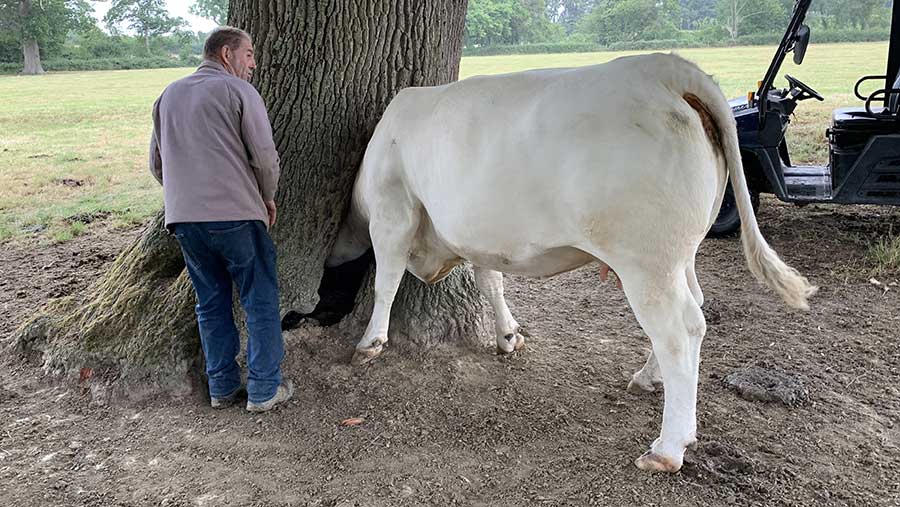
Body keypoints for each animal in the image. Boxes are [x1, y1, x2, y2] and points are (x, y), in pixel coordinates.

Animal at [326, 53, 820, 474]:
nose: (312, 314)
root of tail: (664, 67)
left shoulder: (393, 211)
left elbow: (386, 279)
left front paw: (370, 342)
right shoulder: (480, 237)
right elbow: (491, 281)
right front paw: (508, 335)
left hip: (646, 261)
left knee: (680, 330)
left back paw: (668, 447)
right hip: (680, 254)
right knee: (694, 307)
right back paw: (648, 378)